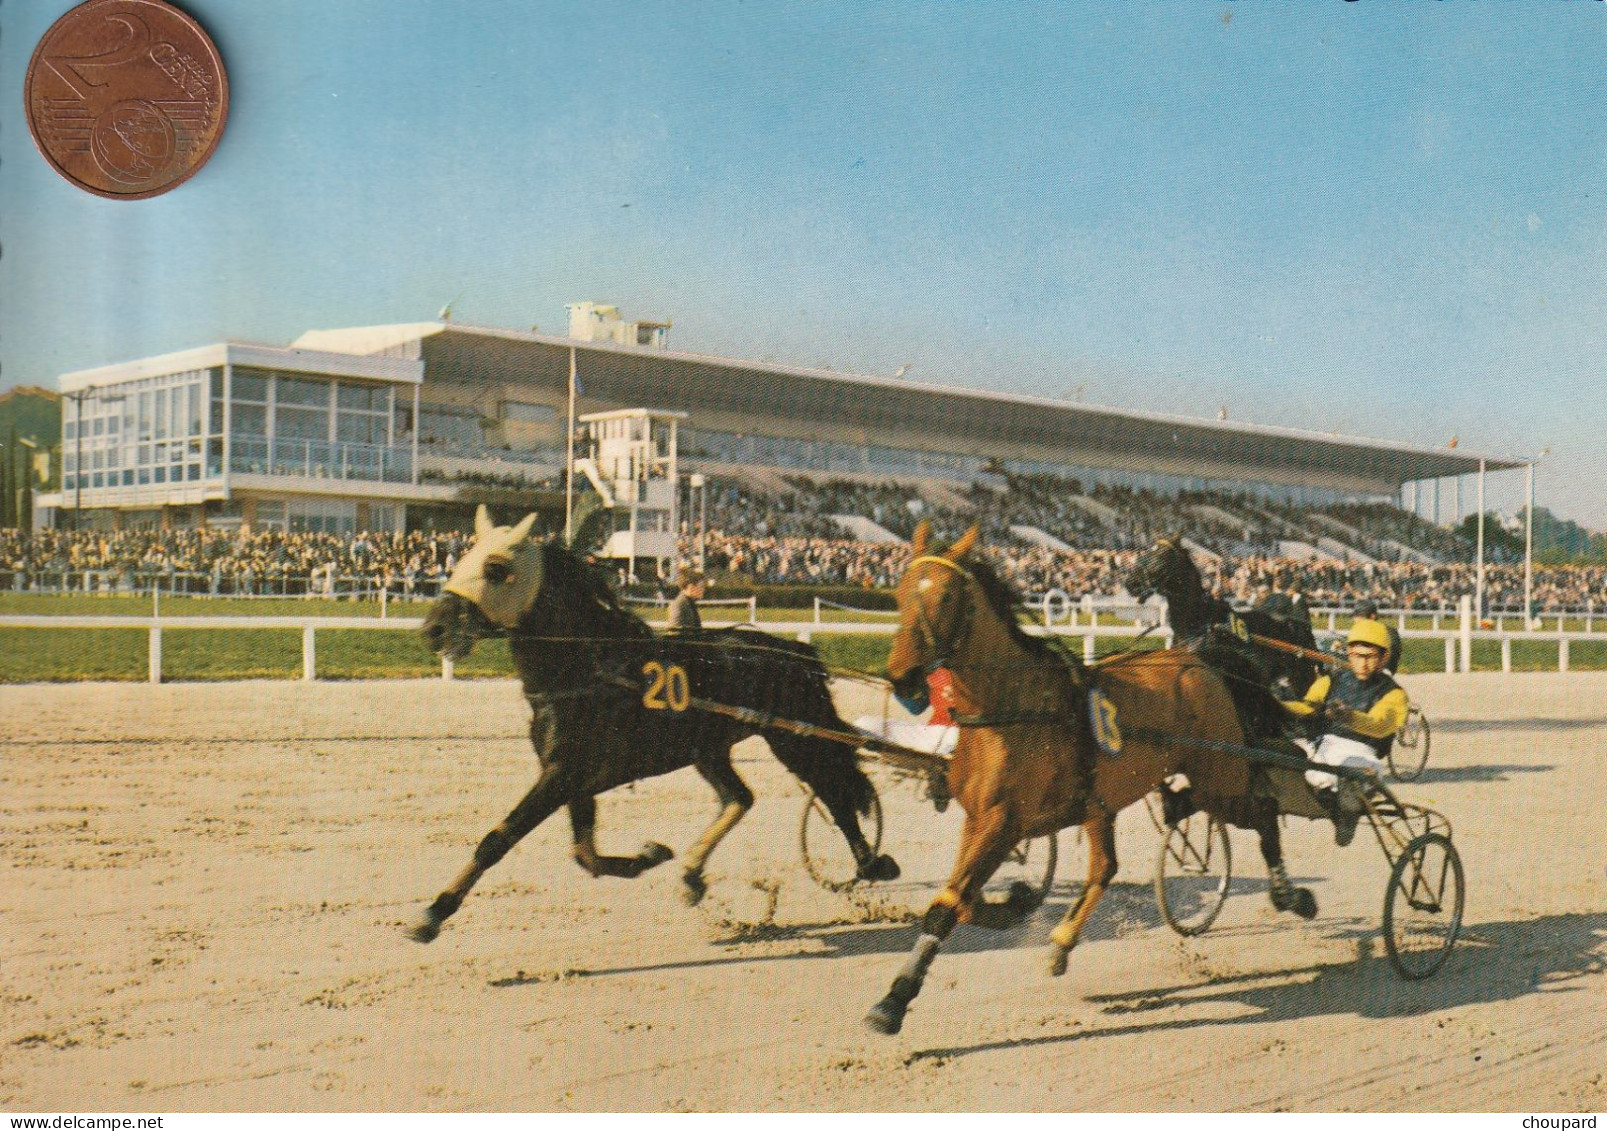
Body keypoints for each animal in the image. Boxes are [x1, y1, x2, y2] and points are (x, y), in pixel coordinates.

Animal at [408, 507, 899, 938]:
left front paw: (433, 913)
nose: (434, 629)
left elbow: (500, 837)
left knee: (834, 792)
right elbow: (584, 854)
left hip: (794, 737)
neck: (592, 671)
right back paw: (693, 874)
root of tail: (793, 651)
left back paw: (871, 862)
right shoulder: (574, 776)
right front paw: (649, 854)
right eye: (462, 558)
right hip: (709, 747)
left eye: (495, 567)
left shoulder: (564, 772)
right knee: (740, 797)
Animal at [867, 520, 1304, 1034]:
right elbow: (961, 898)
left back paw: (1290, 894)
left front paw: (894, 999)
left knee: (1263, 813)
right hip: (1104, 800)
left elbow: (948, 906)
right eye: (900, 592)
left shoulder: (1004, 821)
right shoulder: (978, 818)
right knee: (1106, 866)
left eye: (948, 596)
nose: (904, 676)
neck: (1012, 708)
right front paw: (1015, 901)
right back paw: (1062, 940)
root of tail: (1202, 662)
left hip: (1219, 778)